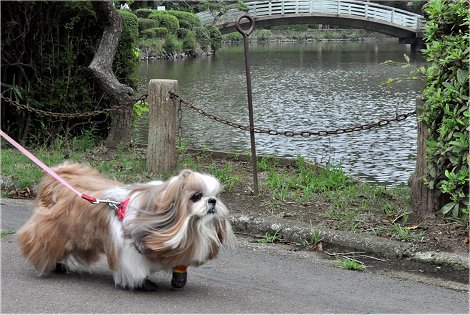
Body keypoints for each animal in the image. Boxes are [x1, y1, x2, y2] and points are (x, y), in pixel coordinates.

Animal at [17, 164, 235, 292]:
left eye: (216, 195)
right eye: (196, 196)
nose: (212, 201)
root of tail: (59, 176)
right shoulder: (129, 250)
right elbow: (134, 268)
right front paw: (144, 283)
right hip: (55, 228)